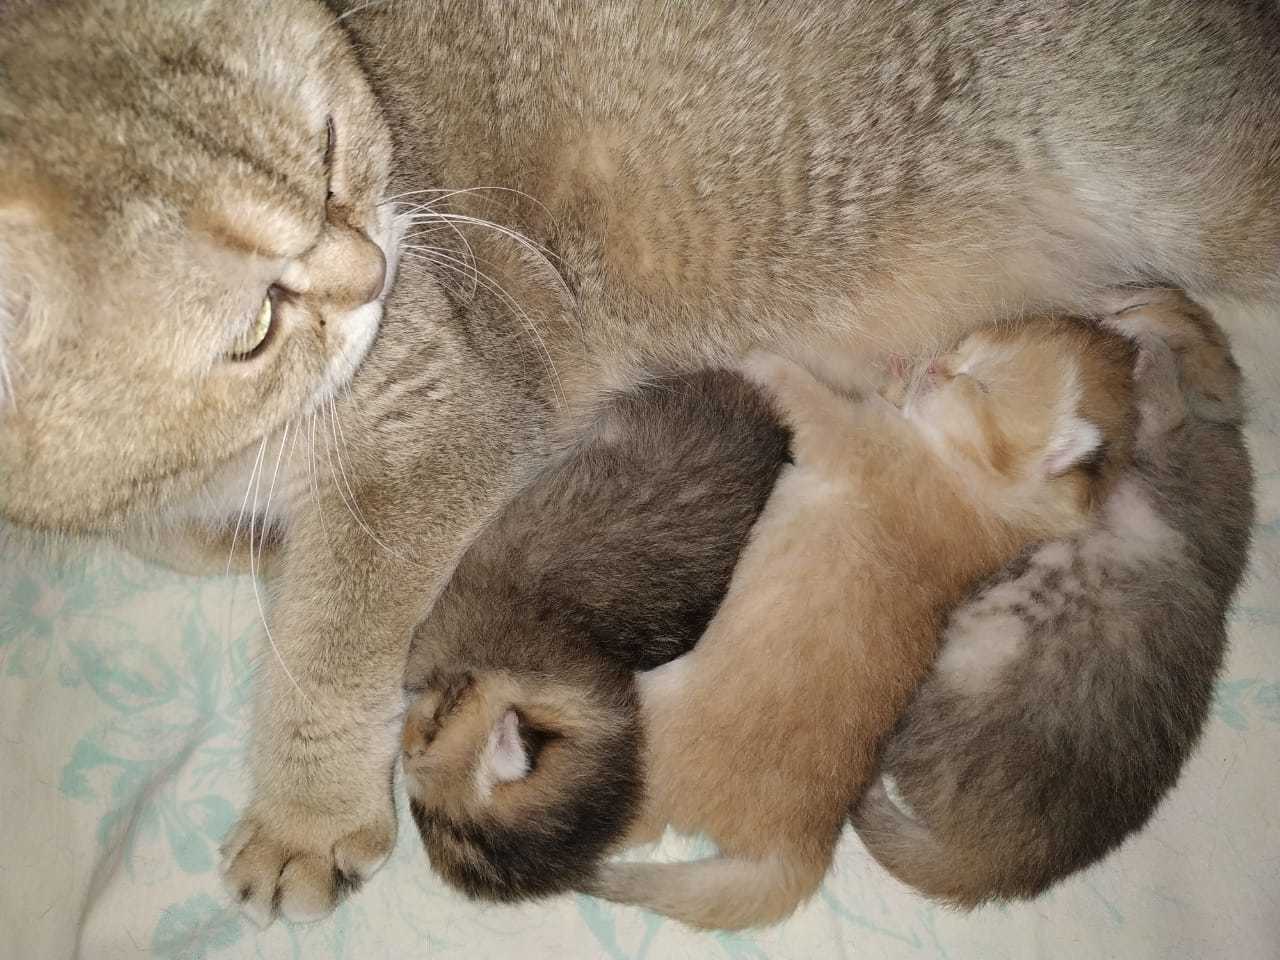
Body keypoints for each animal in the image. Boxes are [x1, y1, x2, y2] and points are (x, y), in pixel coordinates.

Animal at [849, 289, 1249, 906]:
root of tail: (1002, 862)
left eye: (1135, 296)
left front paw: (1150, 354)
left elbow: (1164, 404)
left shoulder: (1178, 458)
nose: (1106, 303)